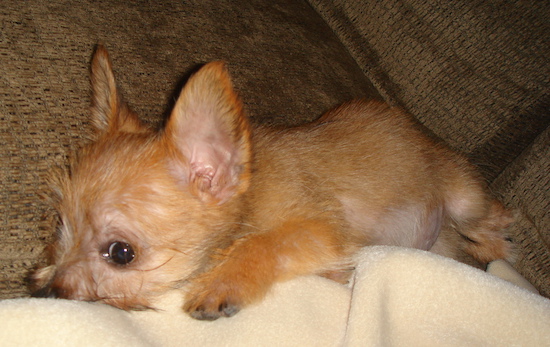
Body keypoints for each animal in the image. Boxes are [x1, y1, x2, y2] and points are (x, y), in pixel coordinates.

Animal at [33, 46, 516, 320]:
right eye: (60, 228)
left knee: (487, 215)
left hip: (461, 195)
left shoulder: (319, 230)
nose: (46, 292)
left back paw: (497, 244)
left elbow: (263, 243)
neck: (251, 194)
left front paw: (224, 282)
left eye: (121, 253)